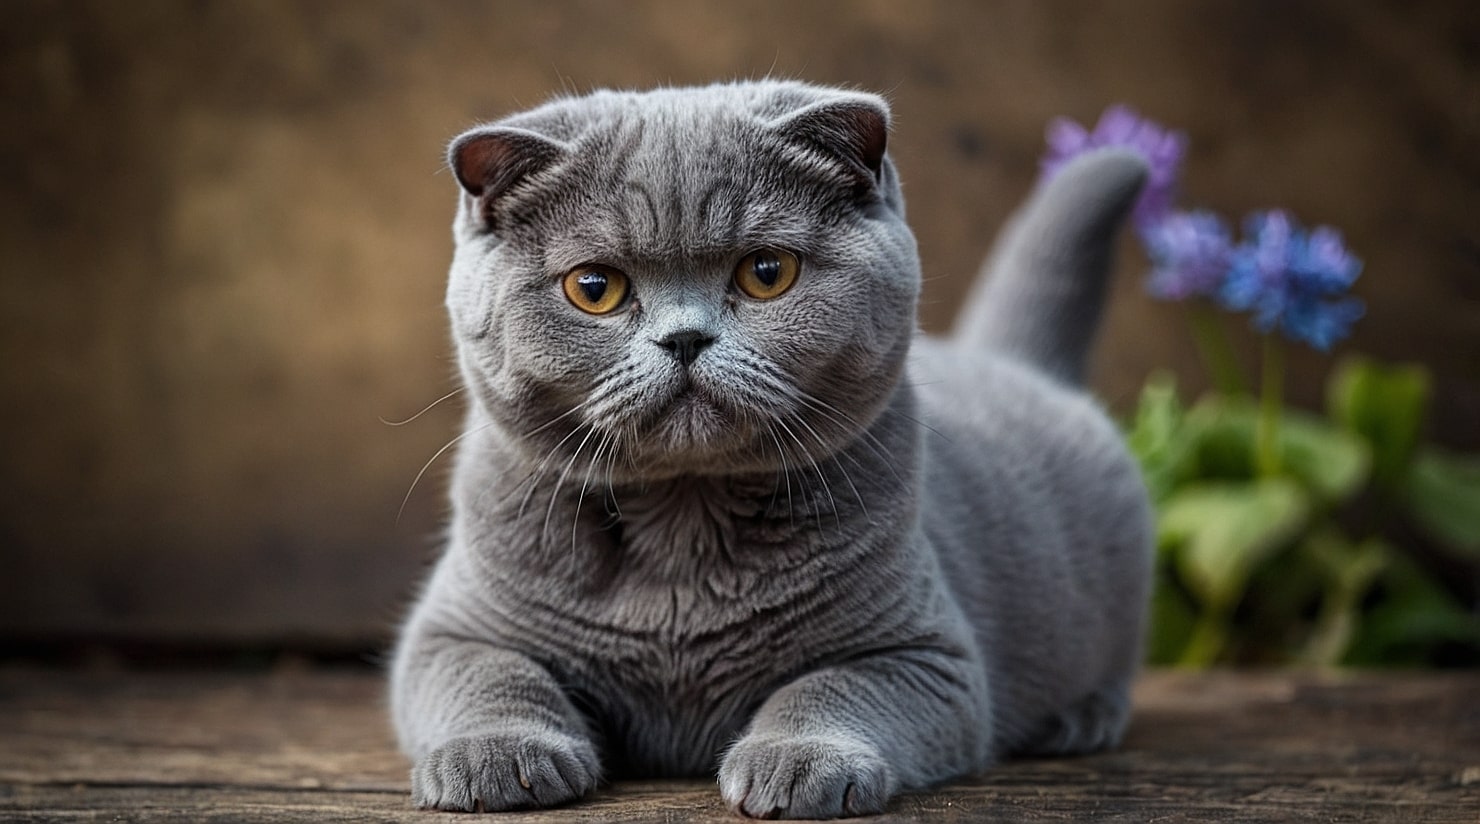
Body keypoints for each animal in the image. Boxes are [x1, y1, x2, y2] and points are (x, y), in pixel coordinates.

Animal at [393, 78, 1154, 816]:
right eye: (594, 287)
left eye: (767, 272)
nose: (685, 337)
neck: (684, 523)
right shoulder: (449, 632)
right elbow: (493, 674)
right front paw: (497, 758)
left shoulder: (925, 656)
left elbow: (829, 688)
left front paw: (799, 763)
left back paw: (1077, 719)